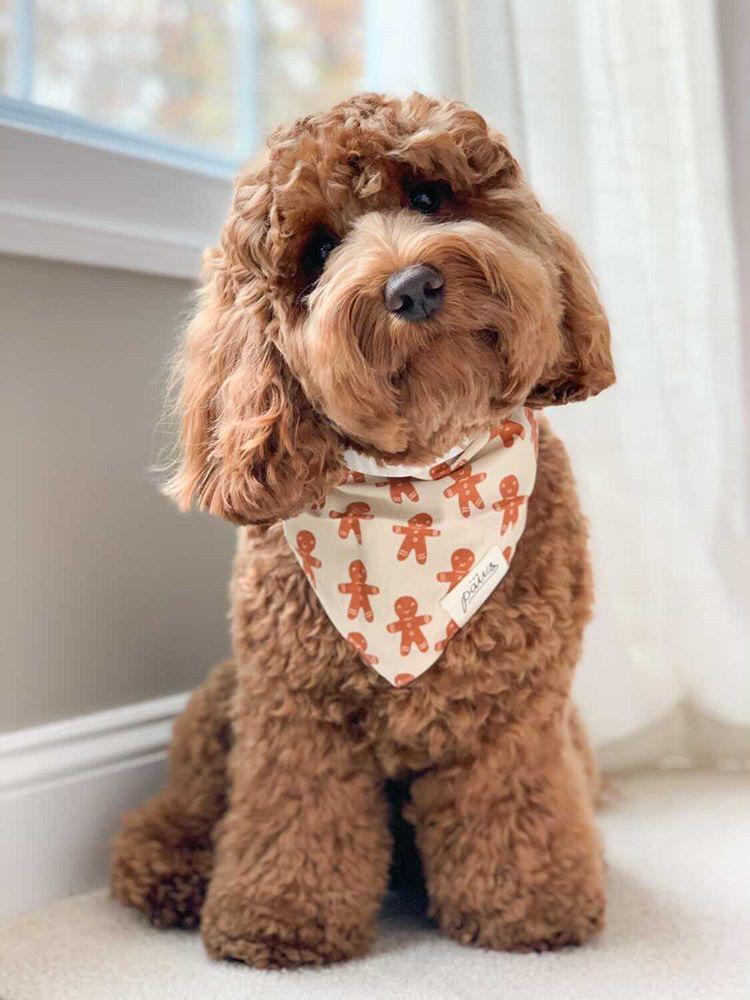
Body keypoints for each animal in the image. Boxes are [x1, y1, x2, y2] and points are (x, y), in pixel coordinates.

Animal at [111, 92, 616, 968]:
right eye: (317, 251)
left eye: (429, 195)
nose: (412, 287)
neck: (424, 478)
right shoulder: (296, 709)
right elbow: (295, 818)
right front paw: (277, 918)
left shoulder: (519, 711)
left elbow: (518, 808)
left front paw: (531, 908)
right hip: (222, 702)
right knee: (177, 812)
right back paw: (173, 872)